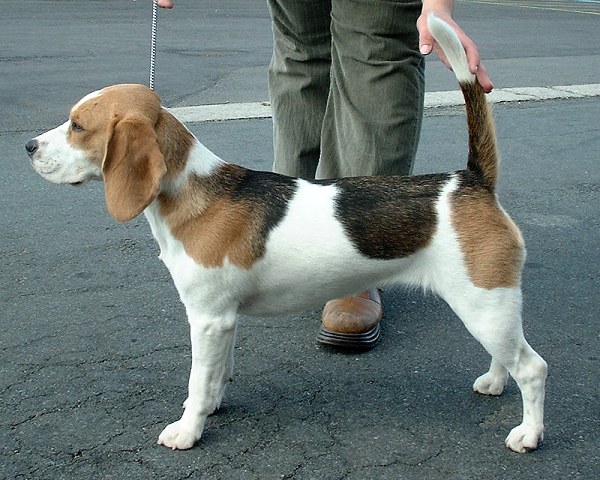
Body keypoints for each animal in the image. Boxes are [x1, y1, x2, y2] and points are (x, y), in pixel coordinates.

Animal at [25, 15, 548, 454]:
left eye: (78, 126)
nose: (28, 146)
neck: (193, 187)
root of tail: (469, 180)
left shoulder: (207, 318)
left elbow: (197, 381)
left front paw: (188, 429)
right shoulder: (224, 321)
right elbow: (216, 373)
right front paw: (214, 402)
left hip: (483, 302)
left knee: (533, 367)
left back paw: (528, 433)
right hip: (490, 307)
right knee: (508, 356)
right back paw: (494, 382)